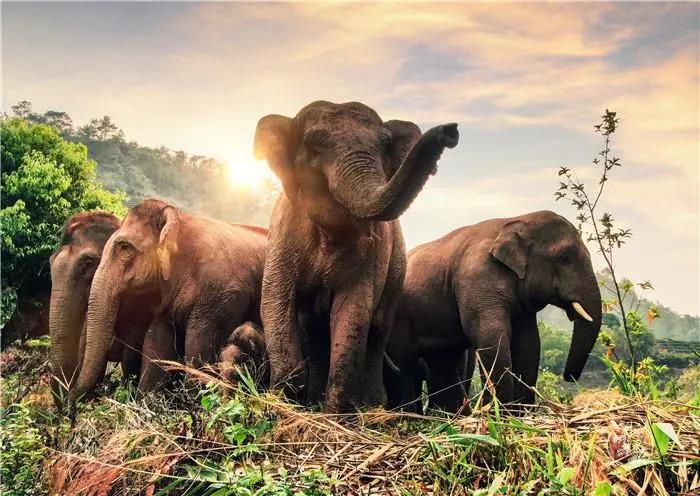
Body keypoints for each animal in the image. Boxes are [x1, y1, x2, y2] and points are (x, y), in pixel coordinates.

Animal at [67, 198, 268, 404]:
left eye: (125, 248)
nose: (69, 399)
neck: (181, 219)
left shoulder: (221, 295)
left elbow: (198, 349)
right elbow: (157, 343)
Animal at [252, 100, 460, 410]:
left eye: (384, 143)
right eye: (314, 142)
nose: (450, 131)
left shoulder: (370, 256)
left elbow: (354, 310)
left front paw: (335, 414)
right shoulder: (282, 235)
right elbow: (275, 300)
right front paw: (285, 405)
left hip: (397, 270)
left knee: (376, 330)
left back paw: (374, 406)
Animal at [386, 211, 604, 412]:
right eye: (564, 258)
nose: (569, 377)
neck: (517, 220)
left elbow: (529, 344)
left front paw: (520, 416)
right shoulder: (476, 279)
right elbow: (491, 337)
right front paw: (500, 415)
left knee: (443, 362)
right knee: (404, 365)